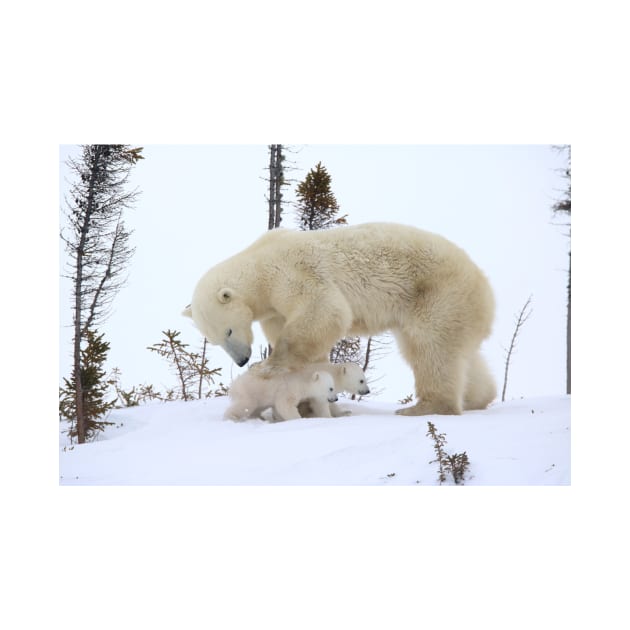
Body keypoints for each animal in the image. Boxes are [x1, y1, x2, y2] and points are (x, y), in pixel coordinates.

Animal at [184, 225, 498, 418]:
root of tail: (483, 285)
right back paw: (476, 398)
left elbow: (326, 311)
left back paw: (425, 407)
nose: (241, 361)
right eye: (214, 340)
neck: (260, 265)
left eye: (228, 330)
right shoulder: (275, 309)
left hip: (437, 293)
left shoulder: (292, 273)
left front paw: (268, 367)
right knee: (456, 352)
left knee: (431, 348)